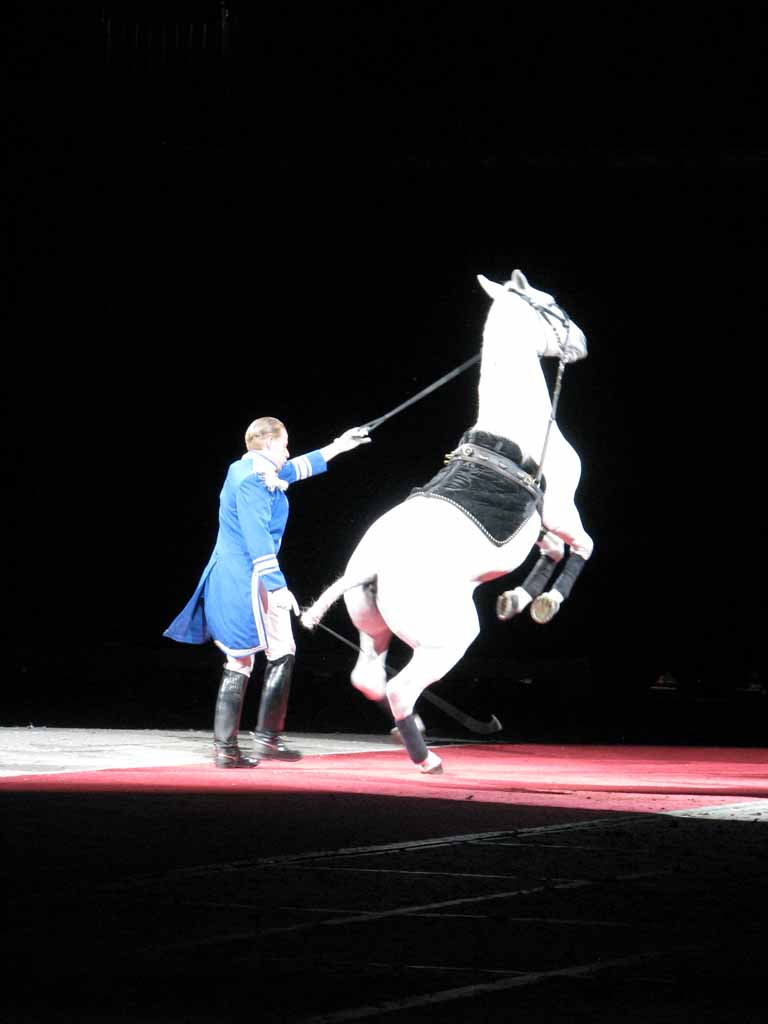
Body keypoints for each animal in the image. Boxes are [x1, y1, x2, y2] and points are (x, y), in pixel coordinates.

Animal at [301, 268, 593, 770]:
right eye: (551, 303)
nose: (581, 342)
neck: (516, 425)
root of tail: (368, 568)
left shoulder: (542, 525)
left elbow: (553, 548)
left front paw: (517, 599)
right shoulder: (561, 508)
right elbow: (582, 545)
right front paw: (546, 602)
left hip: (373, 630)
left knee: (369, 679)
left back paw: (415, 729)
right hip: (447, 639)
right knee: (400, 686)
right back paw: (427, 759)